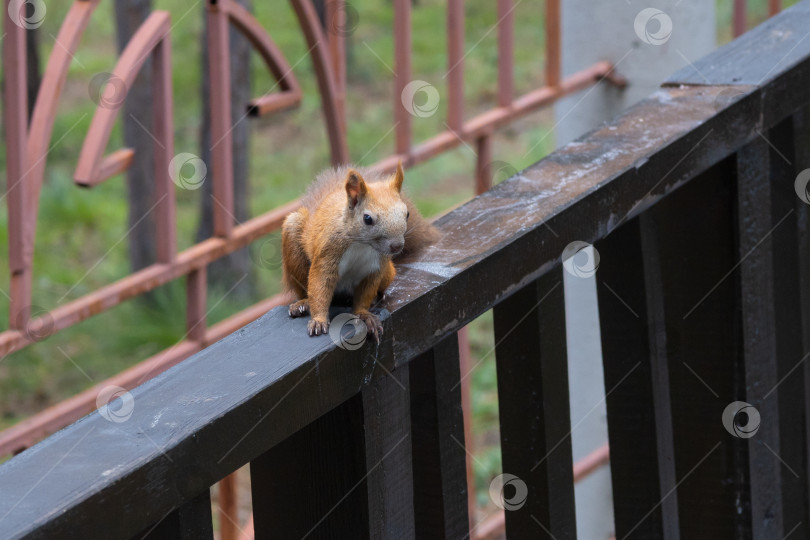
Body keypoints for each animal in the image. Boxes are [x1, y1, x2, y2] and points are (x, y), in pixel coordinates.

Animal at [280, 162, 438, 342]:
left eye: (407, 214)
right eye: (367, 219)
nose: (397, 246)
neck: (362, 244)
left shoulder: (376, 267)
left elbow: (365, 294)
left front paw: (364, 315)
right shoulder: (328, 253)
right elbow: (320, 285)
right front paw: (318, 320)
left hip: (388, 273)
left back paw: (380, 295)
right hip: (294, 238)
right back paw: (303, 303)